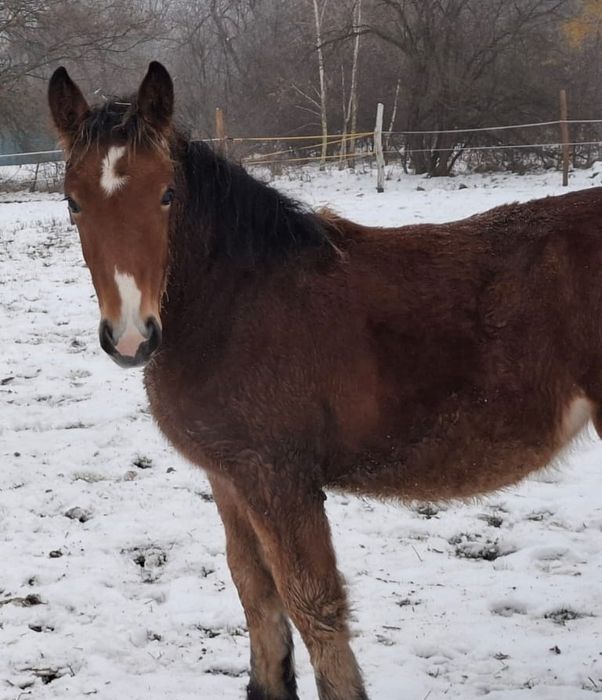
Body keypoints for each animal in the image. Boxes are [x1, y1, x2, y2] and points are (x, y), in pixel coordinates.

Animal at [48, 61, 602, 700]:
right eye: (73, 202)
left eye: (166, 193)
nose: (132, 337)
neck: (235, 302)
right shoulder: (229, 477)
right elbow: (256, 594)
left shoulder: (280, 478)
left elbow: (312, 606)